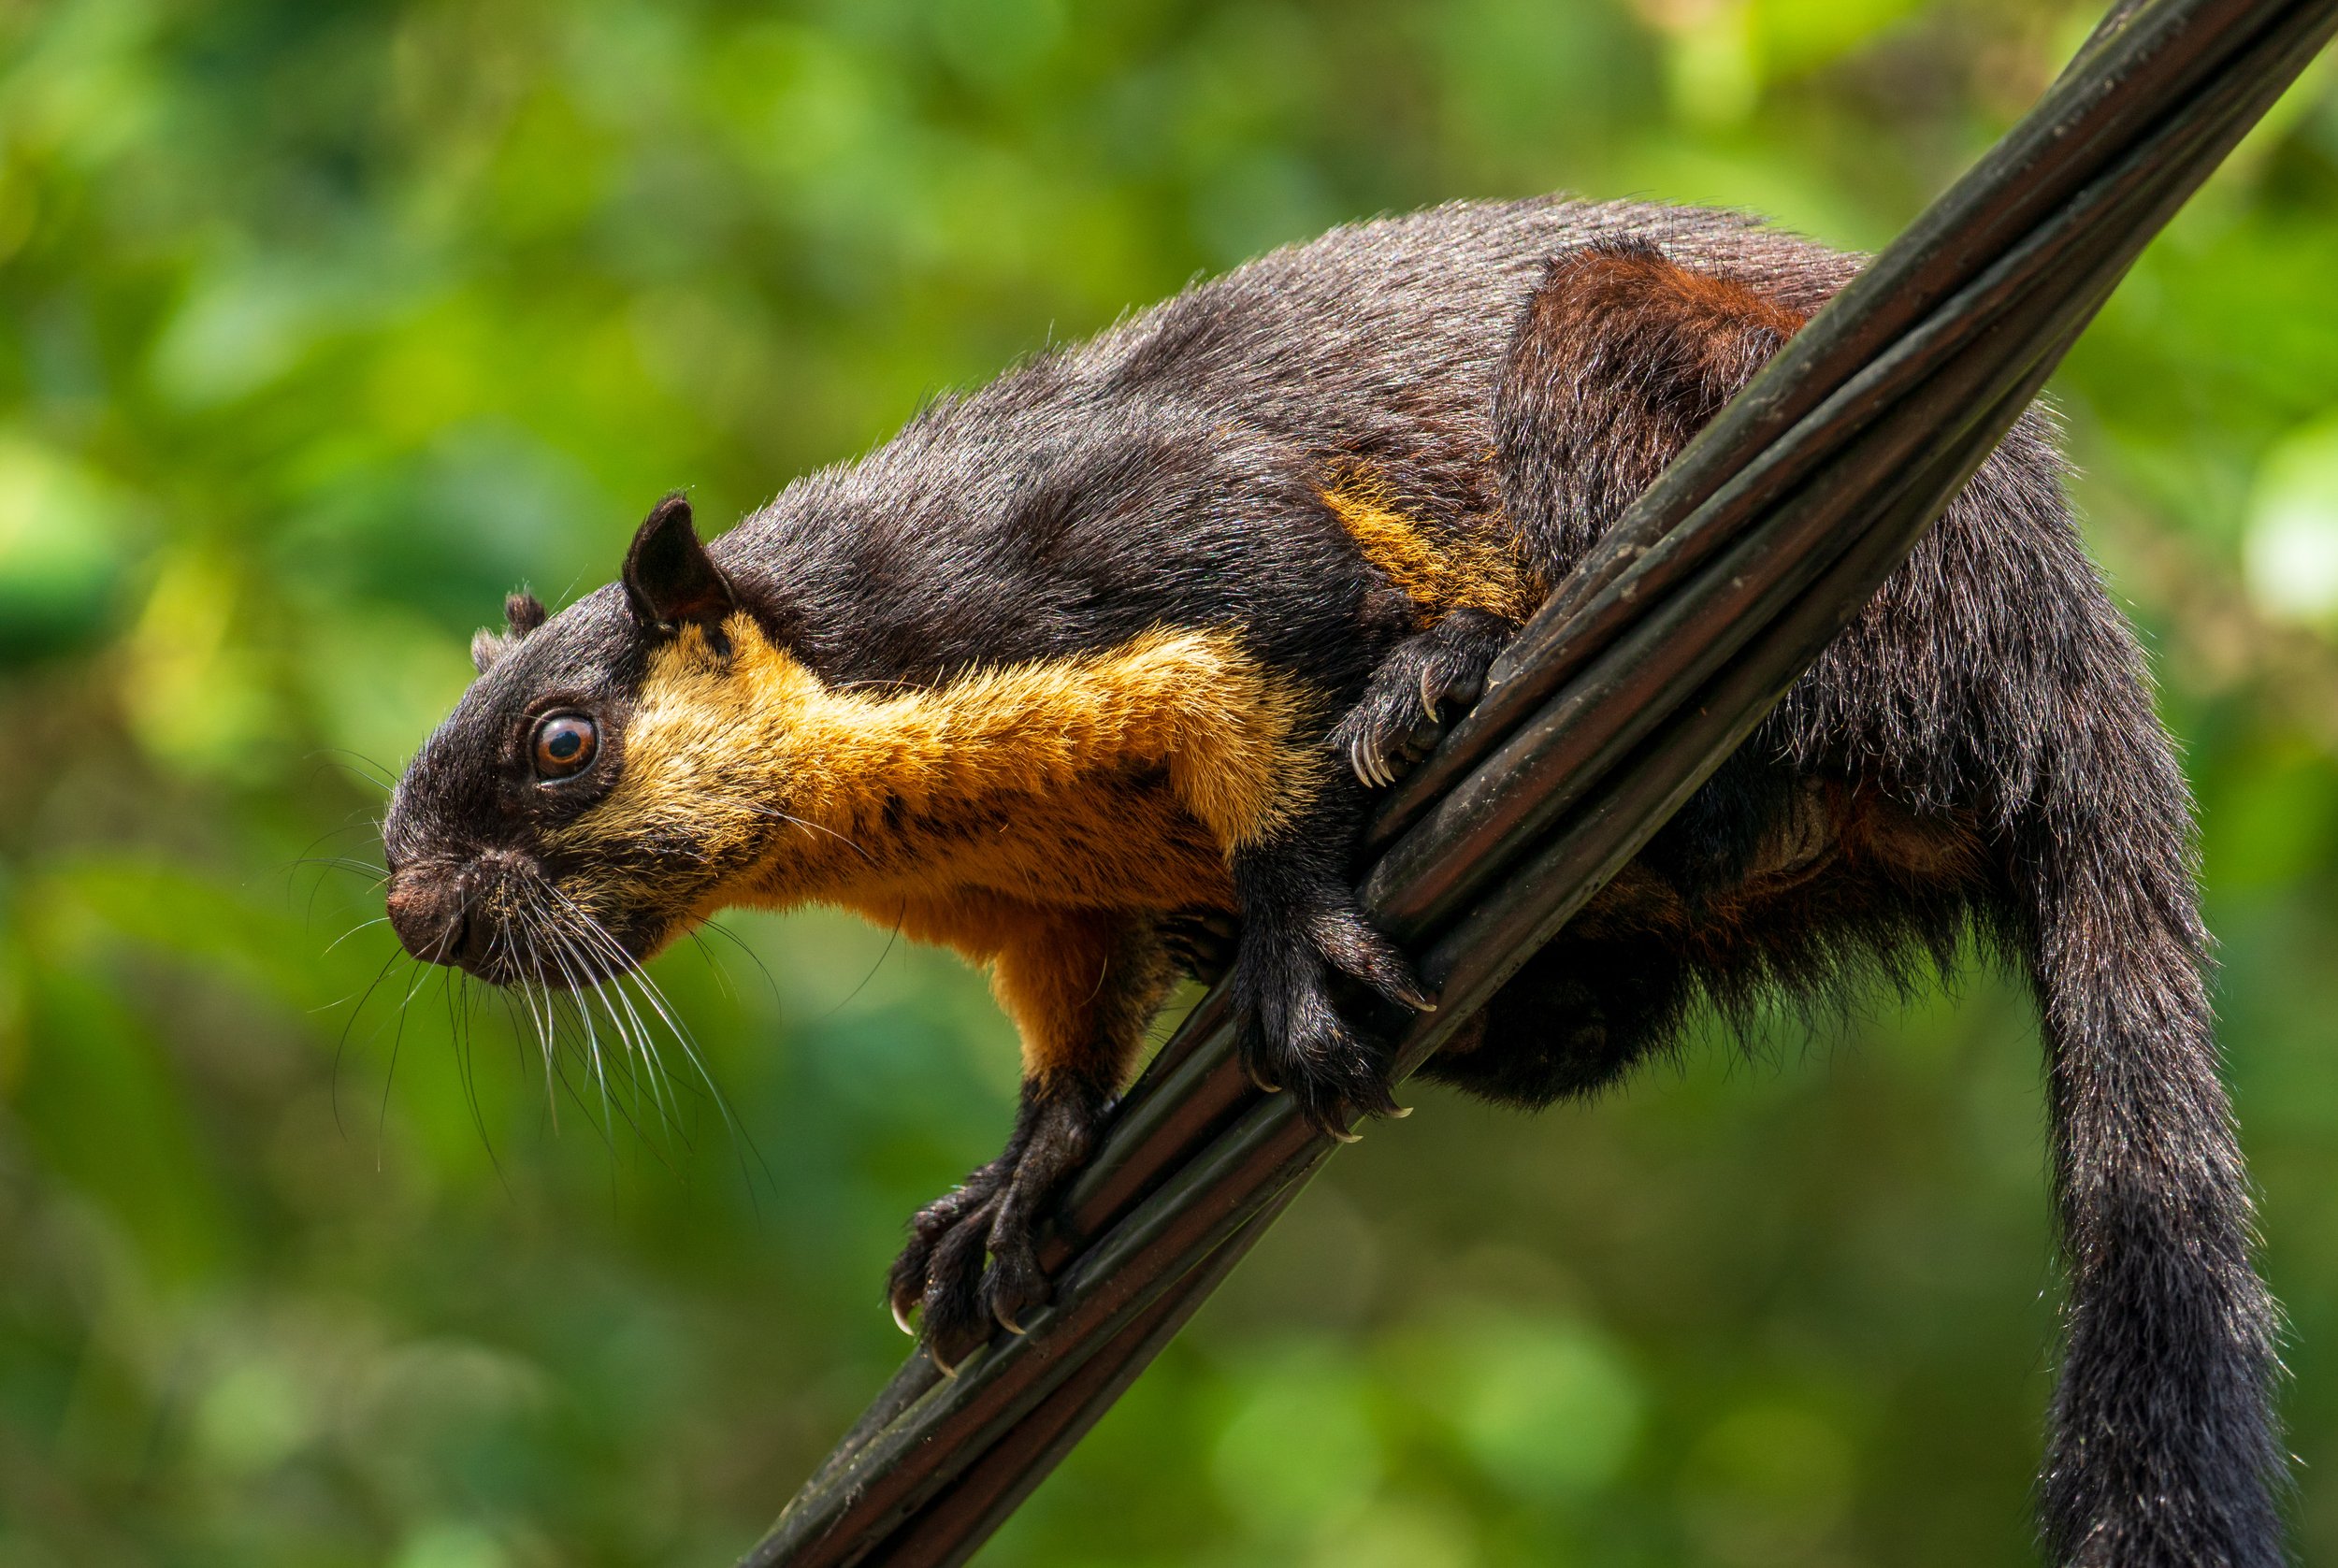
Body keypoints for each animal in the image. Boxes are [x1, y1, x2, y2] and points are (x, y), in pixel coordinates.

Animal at [381, 196, 2283, 1568]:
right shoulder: (1046, 911)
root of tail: (2073, 641)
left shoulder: (1123, 543)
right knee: (1597, 1022)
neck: (929, 816)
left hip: (1651, 381)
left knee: (1752, 750)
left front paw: (1297, 921)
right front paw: (1015, 1184)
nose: (413, 909)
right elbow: (1067, 1034)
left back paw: (1448, 685)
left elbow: (1278, 682)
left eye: (560, 740)